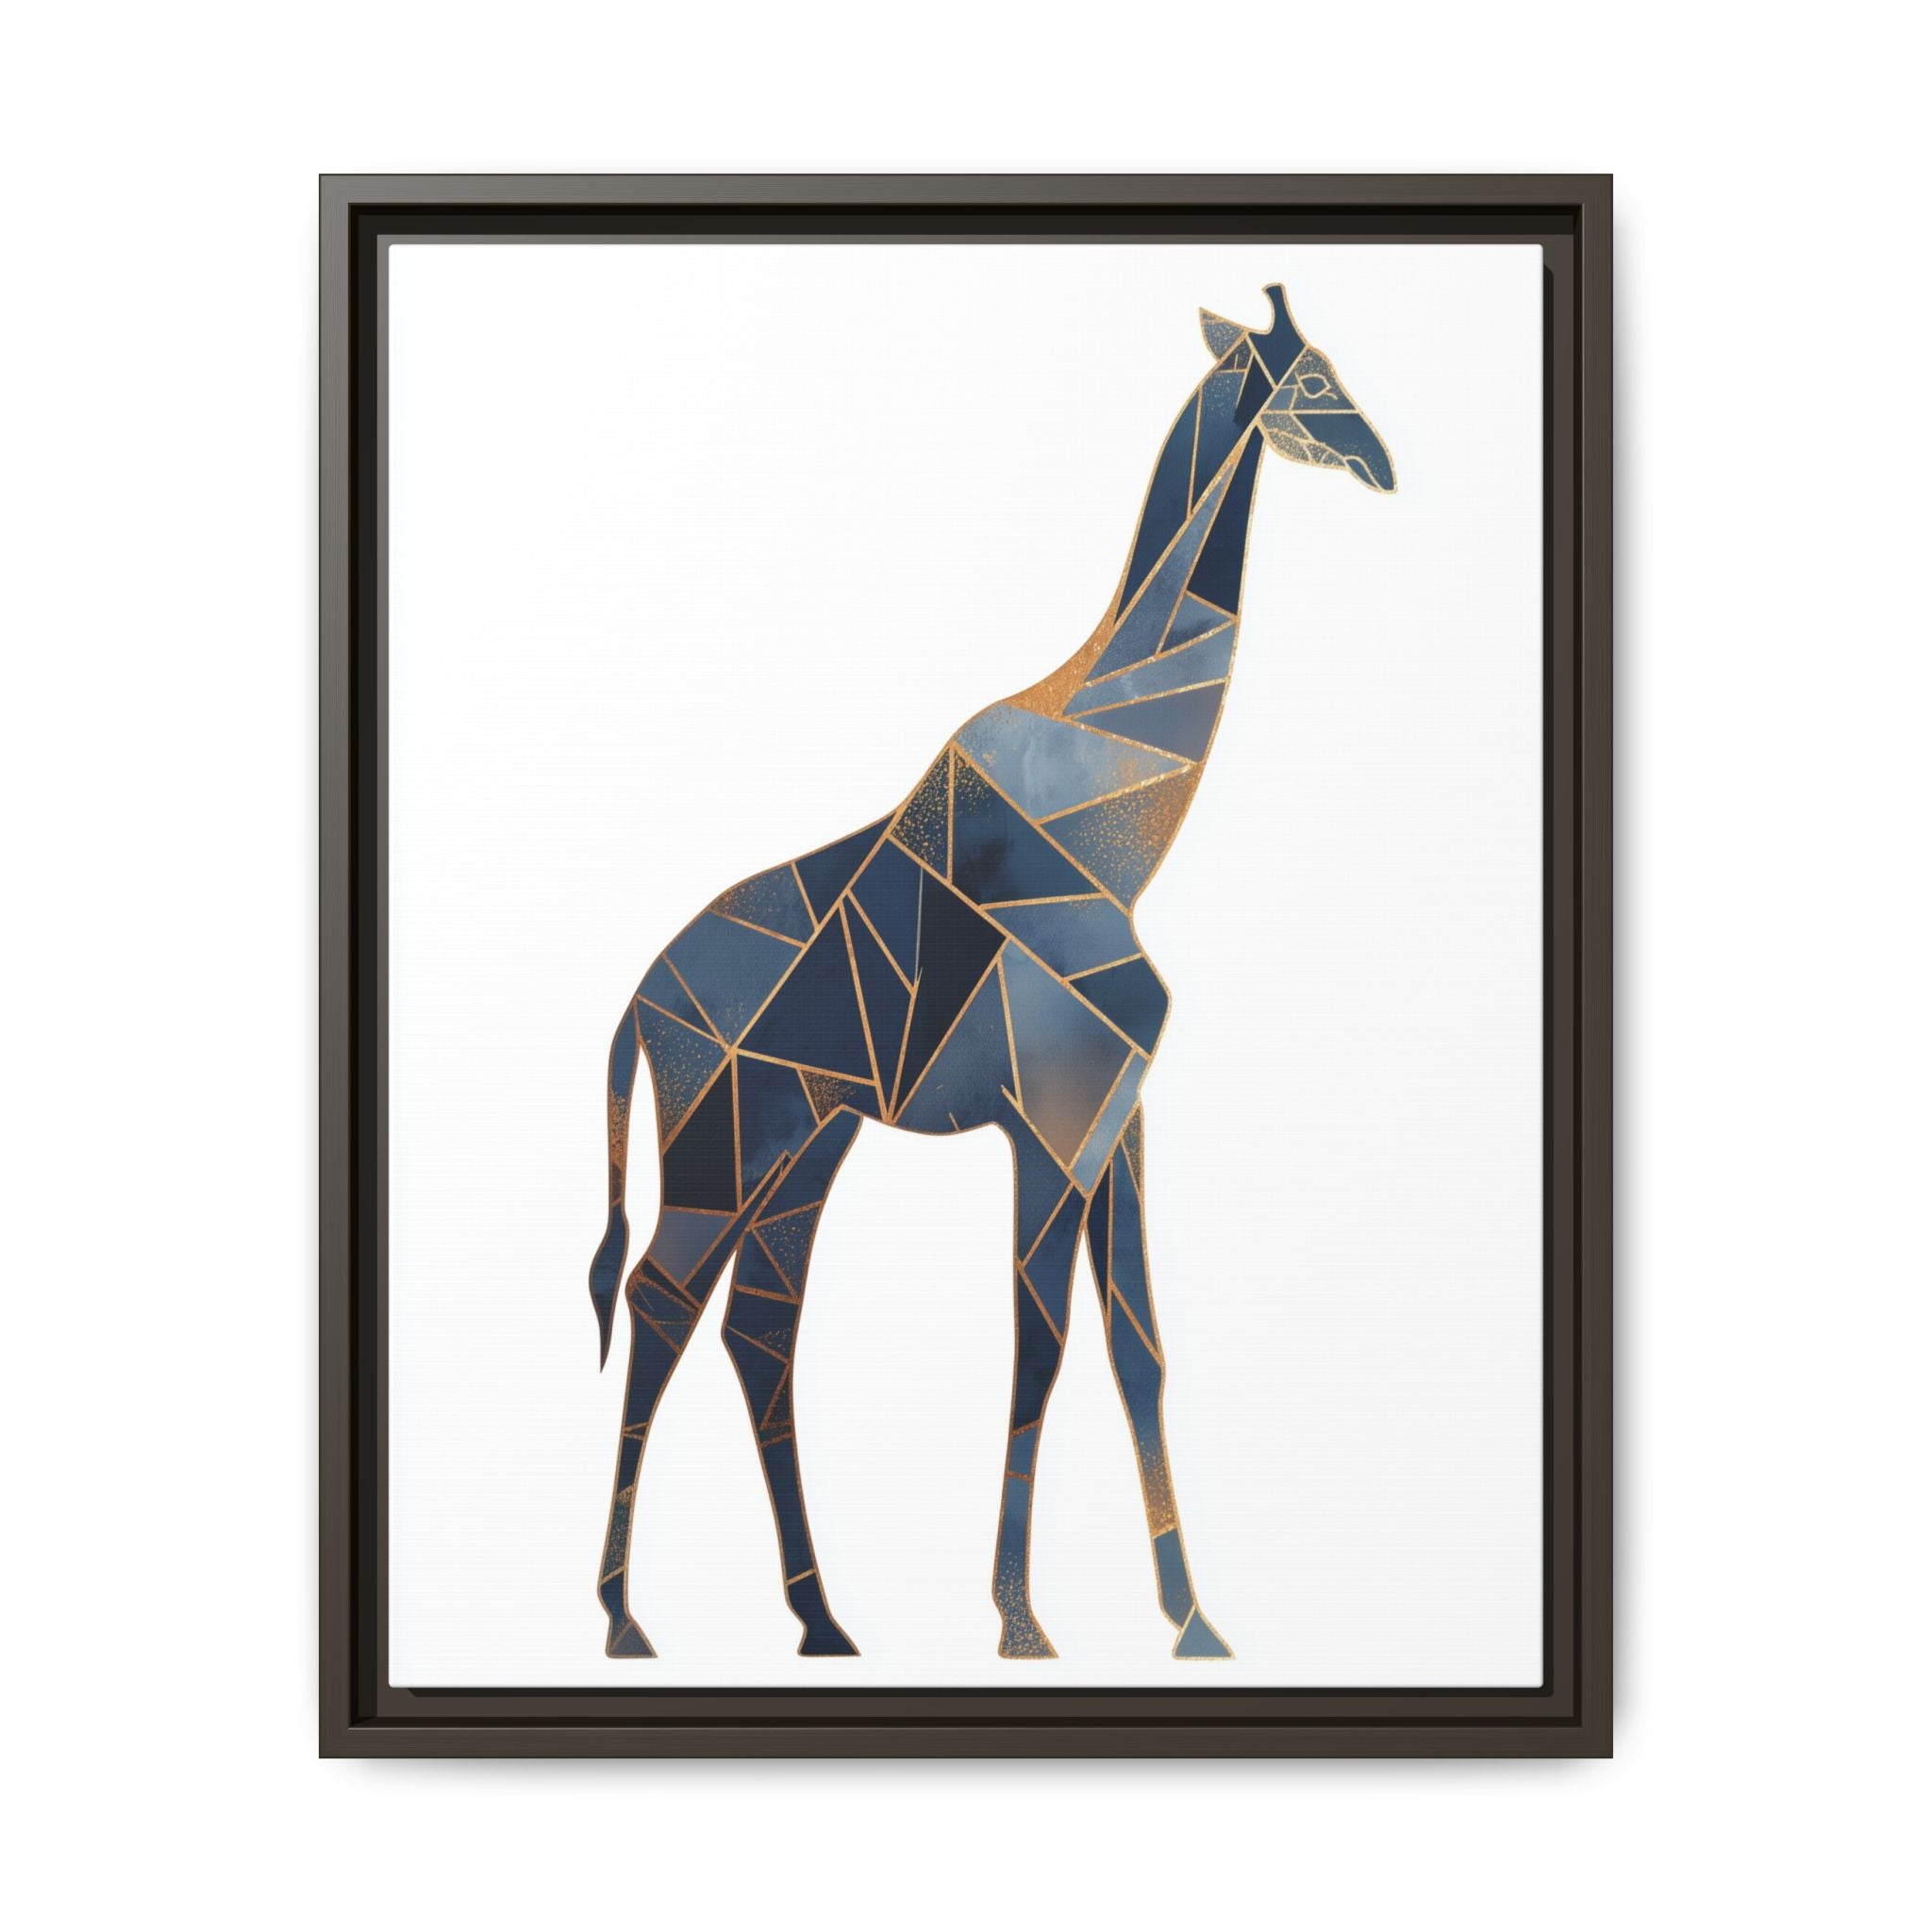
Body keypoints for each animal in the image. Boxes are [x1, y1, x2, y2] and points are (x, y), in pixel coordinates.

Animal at [588, 281, 1396, 1661]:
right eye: (1310, 380)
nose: (1382, 462)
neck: (1119, 822)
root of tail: (638, 1006)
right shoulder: (1052, 1120)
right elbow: (1042, 1345)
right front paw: (1021, 1620)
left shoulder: (1118, 1117)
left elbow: (1139, 1347)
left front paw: (1192, 1621)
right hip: (720, 1144)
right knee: (657, 1304)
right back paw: (623, 1619)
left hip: (806, 1147)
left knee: (758, 1326)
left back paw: (822, 1619)